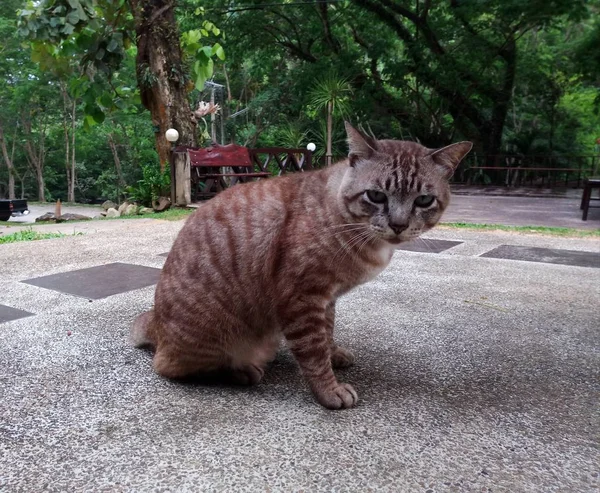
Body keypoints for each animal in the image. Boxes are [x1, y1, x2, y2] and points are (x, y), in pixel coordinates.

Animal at [132, 122, 474, 408]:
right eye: (376, 196)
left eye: (423, 201)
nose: (399, 225)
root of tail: (156, 322)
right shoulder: (302, 298)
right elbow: (313, 351)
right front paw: (329, 389)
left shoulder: (327, 298)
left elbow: (327, 332)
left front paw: (334, 353)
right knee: (171, 367)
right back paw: (241, 371)